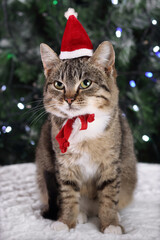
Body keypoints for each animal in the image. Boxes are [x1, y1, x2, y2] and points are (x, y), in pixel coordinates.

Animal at [35, 40, 137, 234]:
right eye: (58, 84)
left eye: (86, 83)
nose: (68, 99)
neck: (81, 121)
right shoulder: (64, 165)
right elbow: (68, 195)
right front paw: (66, 221)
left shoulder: (110, 163)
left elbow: (109, 195)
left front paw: (110, 223)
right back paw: (81, 213)